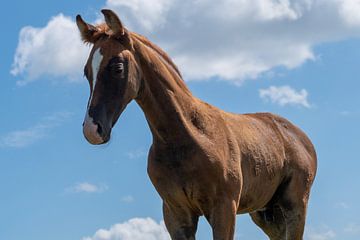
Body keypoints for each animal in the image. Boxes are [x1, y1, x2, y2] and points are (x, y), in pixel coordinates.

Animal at [76, 8, 316, 239]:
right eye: (86, 72)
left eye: (117, 67)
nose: (92, 130)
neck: (186, 136)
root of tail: (301, 138)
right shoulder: (176, 213)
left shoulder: (224, 208)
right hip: (265, 213)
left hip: (294, 208)